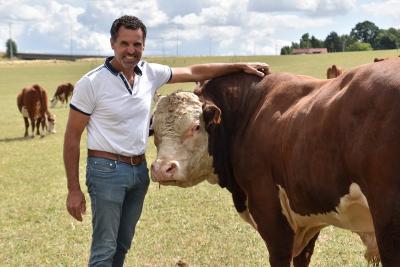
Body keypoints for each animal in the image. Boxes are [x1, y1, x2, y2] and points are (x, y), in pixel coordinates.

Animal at [150, 59, 400, 267]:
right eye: (154, 131)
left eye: (195, 126)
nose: (162, 169)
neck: (246, 111)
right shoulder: (307, 215)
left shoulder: (270, 214)